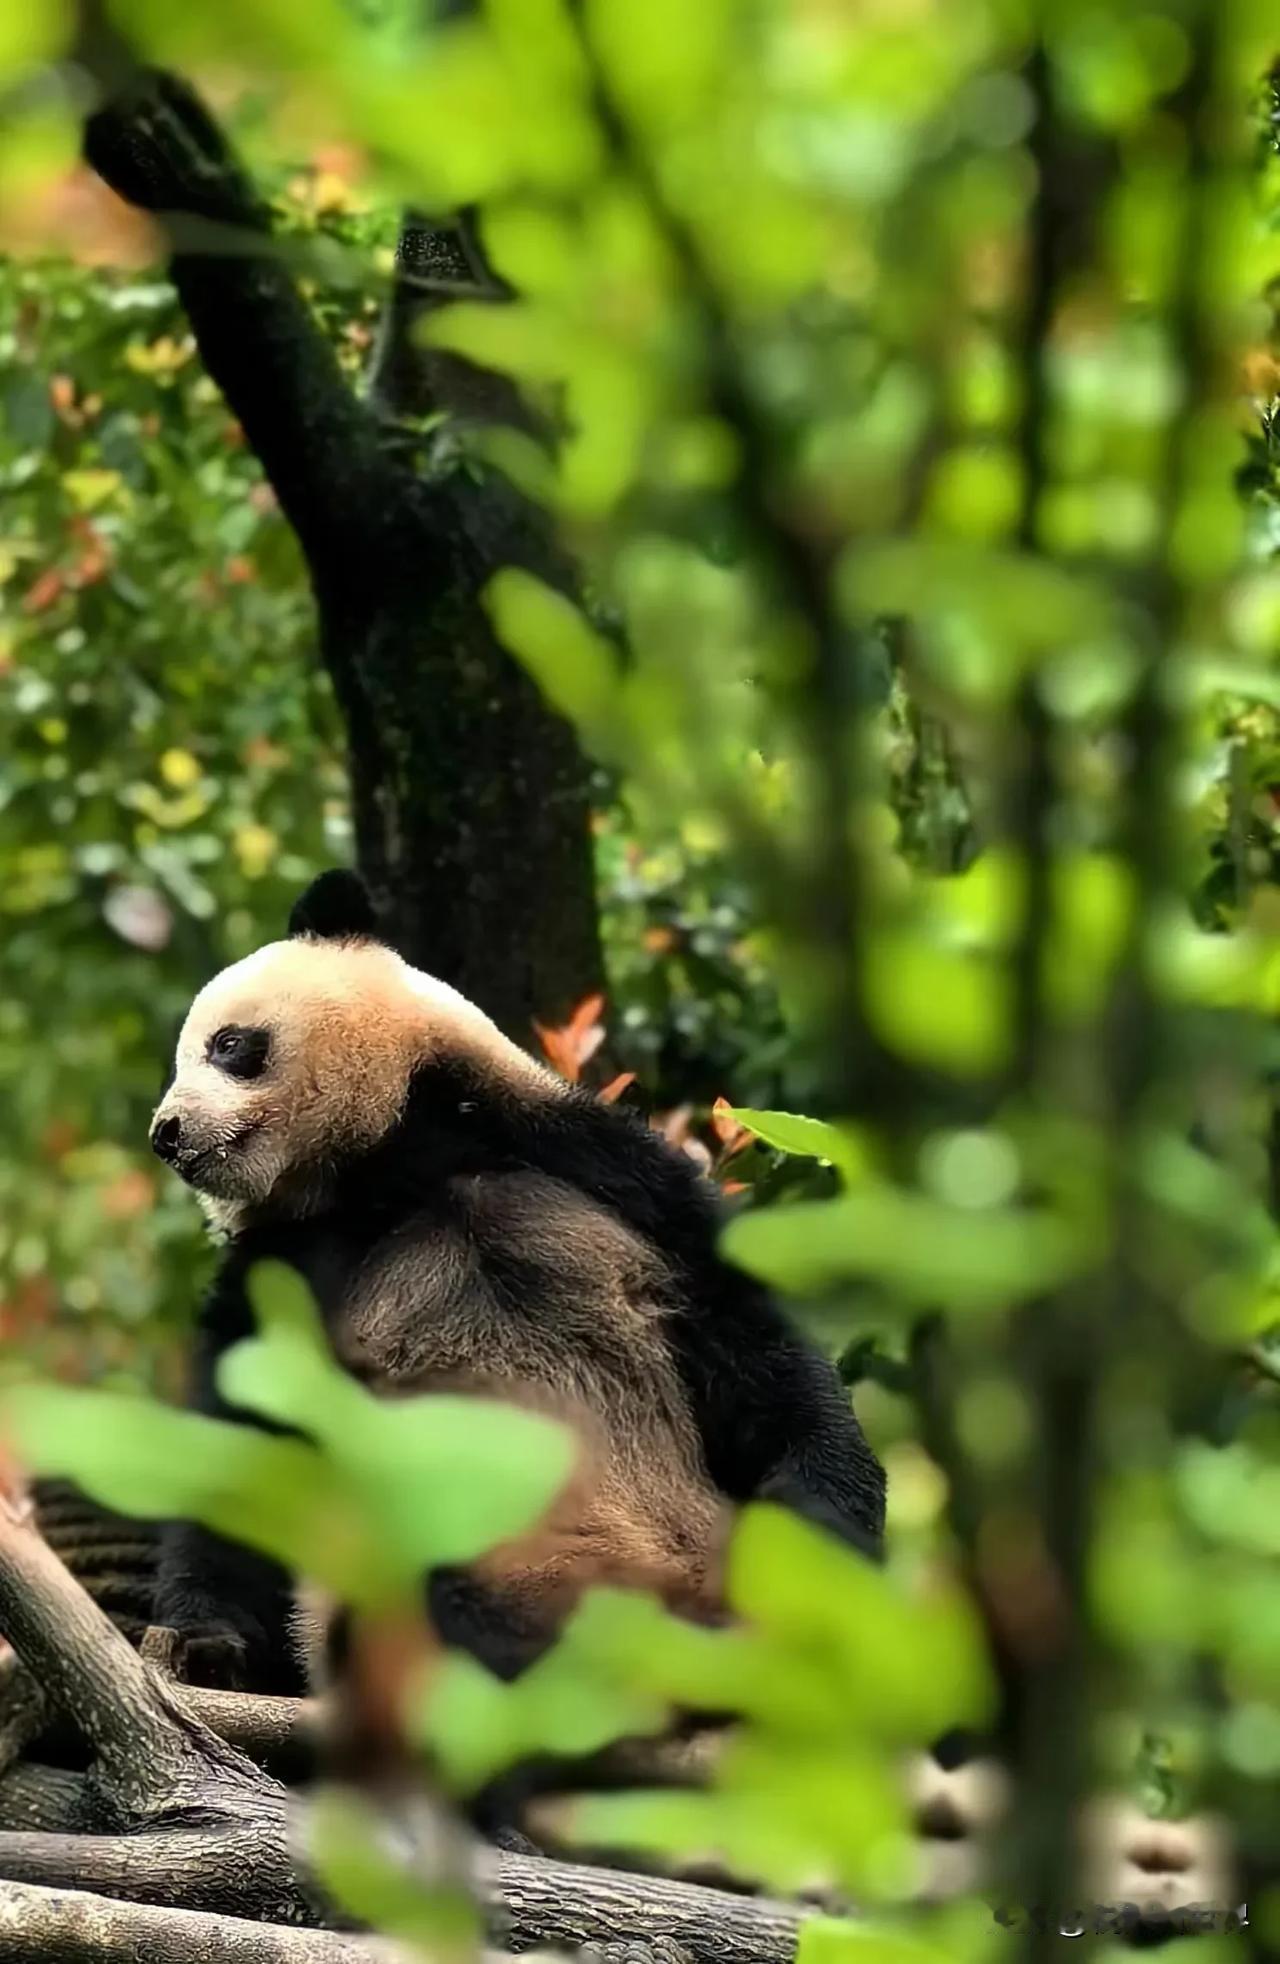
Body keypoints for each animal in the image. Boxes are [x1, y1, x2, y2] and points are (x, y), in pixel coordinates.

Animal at [150, 868, 883, 1696]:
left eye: (228, 1045)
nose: (165, 1134)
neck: (379, 1167)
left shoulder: (588, 1160)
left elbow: (750, 1343)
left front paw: (821, 1549)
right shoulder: (285, 1267)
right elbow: (244, 1449)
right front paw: (209, 1646)